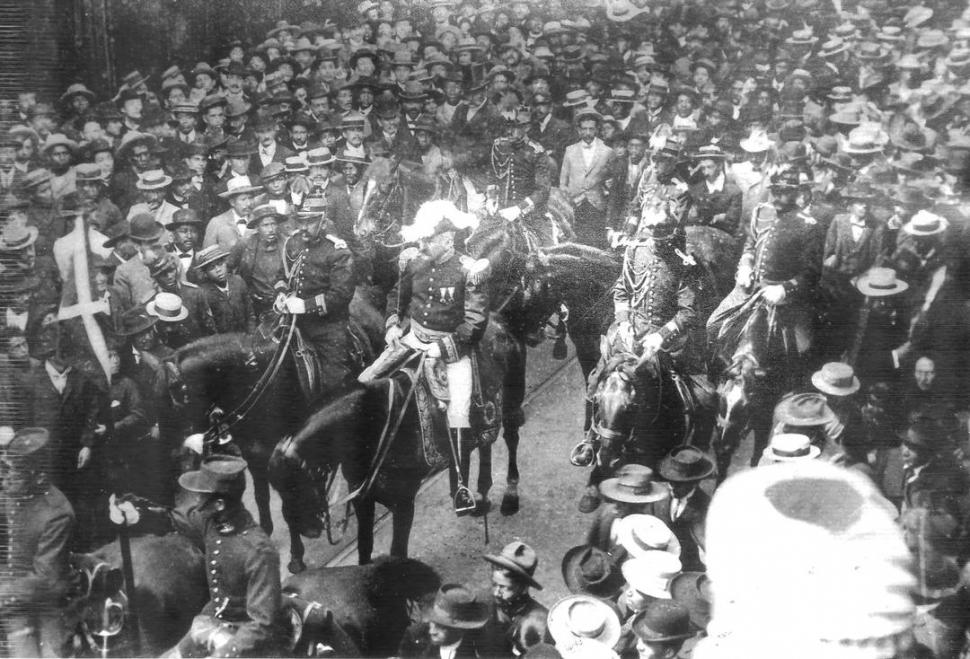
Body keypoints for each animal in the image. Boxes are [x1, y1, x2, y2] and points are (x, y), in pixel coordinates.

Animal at [269, 317, 514, 565]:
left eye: (299, 482)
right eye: (279, 491)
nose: (308, 529)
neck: (374, 423)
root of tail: (497, 323)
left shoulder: (403, 502)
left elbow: (397, 552)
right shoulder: (362, 500)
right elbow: (364, 548)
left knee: (506, 440)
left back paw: (502, 497)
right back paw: (470, 496)